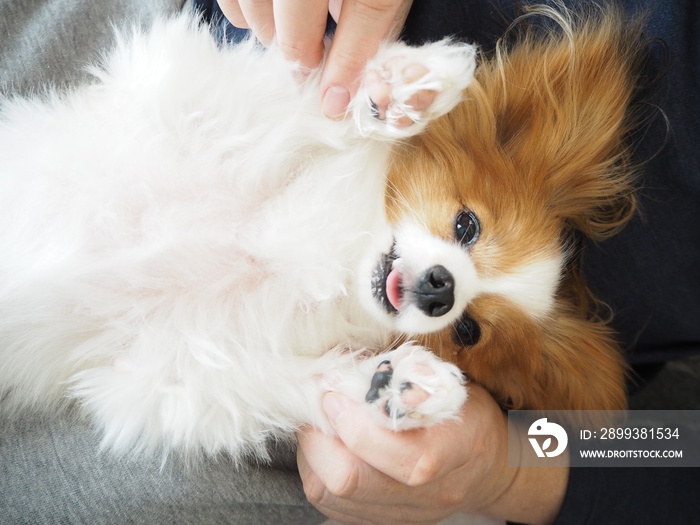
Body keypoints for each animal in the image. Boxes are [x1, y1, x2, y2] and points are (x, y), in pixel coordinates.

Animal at [0, 5, 644, 458]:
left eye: (467, 332)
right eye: (467, 225)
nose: (442, 289)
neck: (324, 253)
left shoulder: (164, 376)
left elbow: (307, 381)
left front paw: (398, 383)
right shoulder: (191, 101)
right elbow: (312, 107)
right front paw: (399, 95)